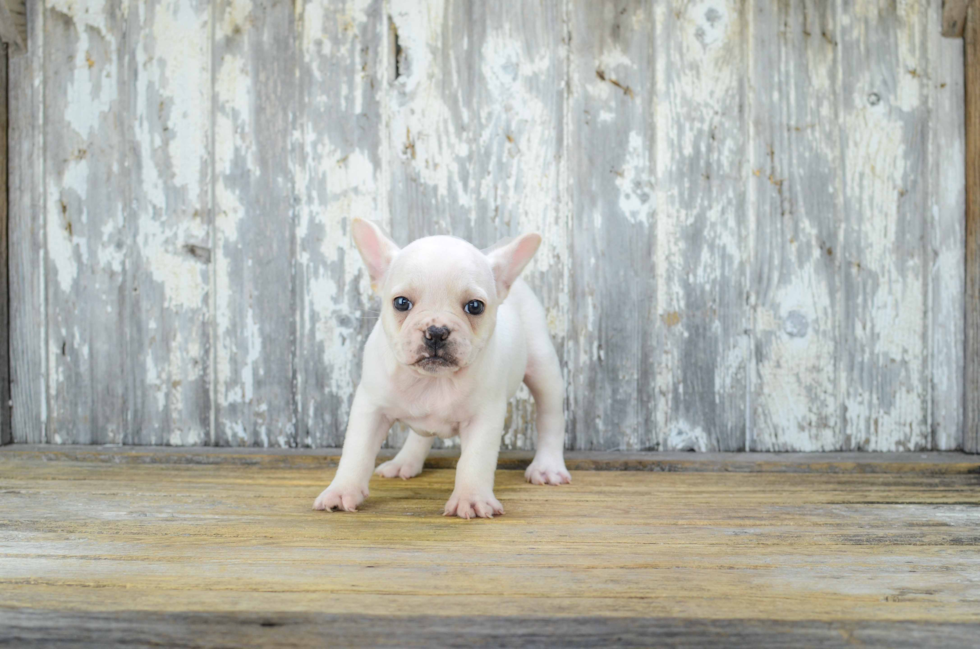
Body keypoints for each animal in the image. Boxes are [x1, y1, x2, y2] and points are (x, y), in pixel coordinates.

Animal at [316, 220, 568, 520]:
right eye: (401, 302)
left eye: (475, 306)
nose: (436, 331)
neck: (432, 382)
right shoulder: (371, 407)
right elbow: (357, 451)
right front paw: (342, 490)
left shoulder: (484, 417)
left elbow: (475, 460)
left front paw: (471, 498)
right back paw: (405, 462)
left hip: (543, 368)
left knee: (550, 417)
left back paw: (547, 467)